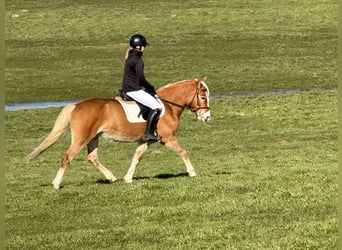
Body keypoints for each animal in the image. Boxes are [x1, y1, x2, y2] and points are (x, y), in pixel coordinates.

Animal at [26, 76, 210, 189]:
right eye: (203, 97)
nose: (206, 117)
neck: (168, 106)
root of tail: (76, 106)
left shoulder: (146, 141)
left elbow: (136, 158)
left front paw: (128, 178)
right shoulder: (168, 138)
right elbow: (183, 152)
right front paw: (192, 172)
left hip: (93, 137)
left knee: (92, 157)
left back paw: (112, 177)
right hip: (81, 139)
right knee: (67, 157)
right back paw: (56, 184)